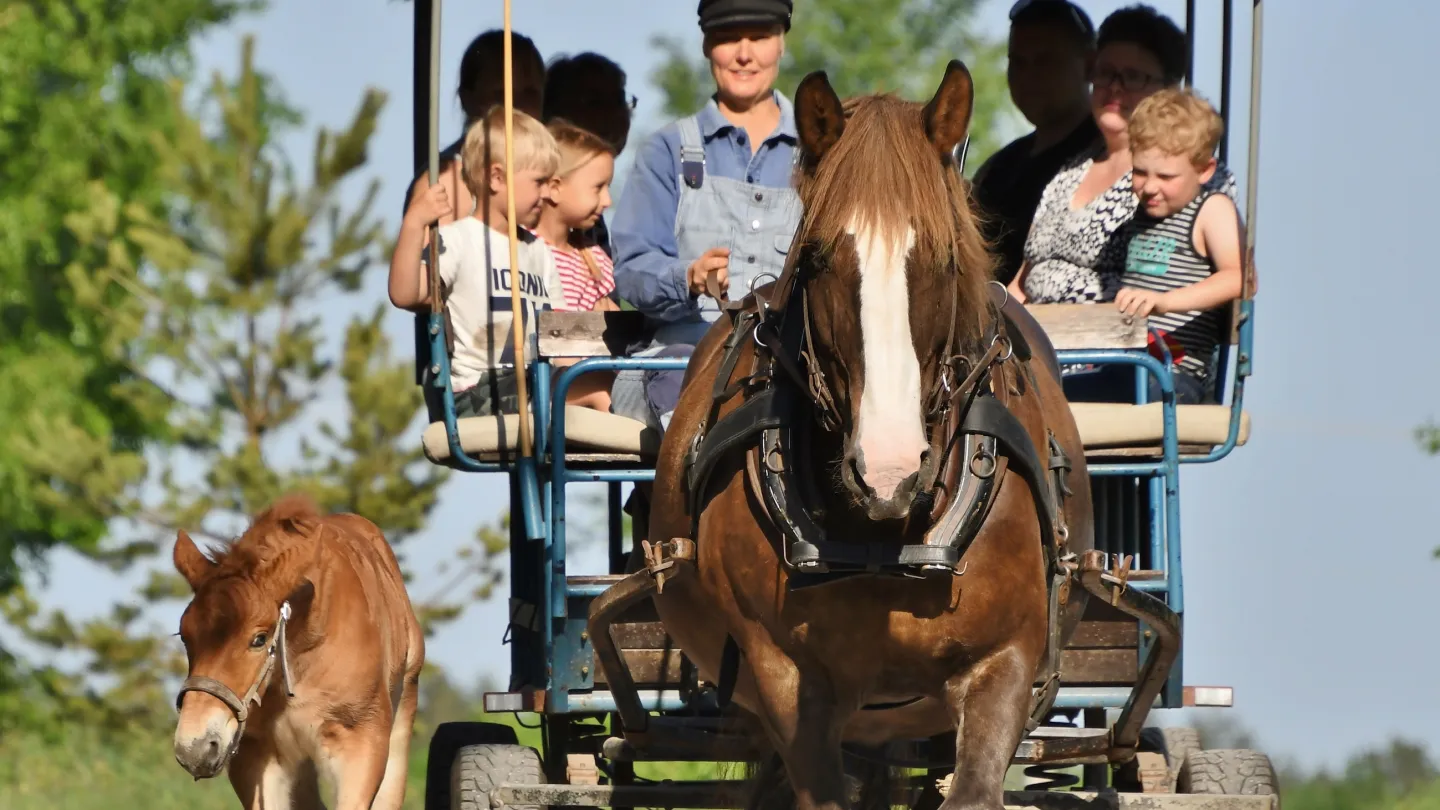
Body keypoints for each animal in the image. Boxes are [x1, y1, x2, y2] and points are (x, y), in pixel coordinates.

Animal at [648, 61, 1094, 807]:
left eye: (945, 256)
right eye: (819, 257)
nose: (887, 470)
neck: (887, 539)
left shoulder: (1003, 660)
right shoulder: (785, 678)